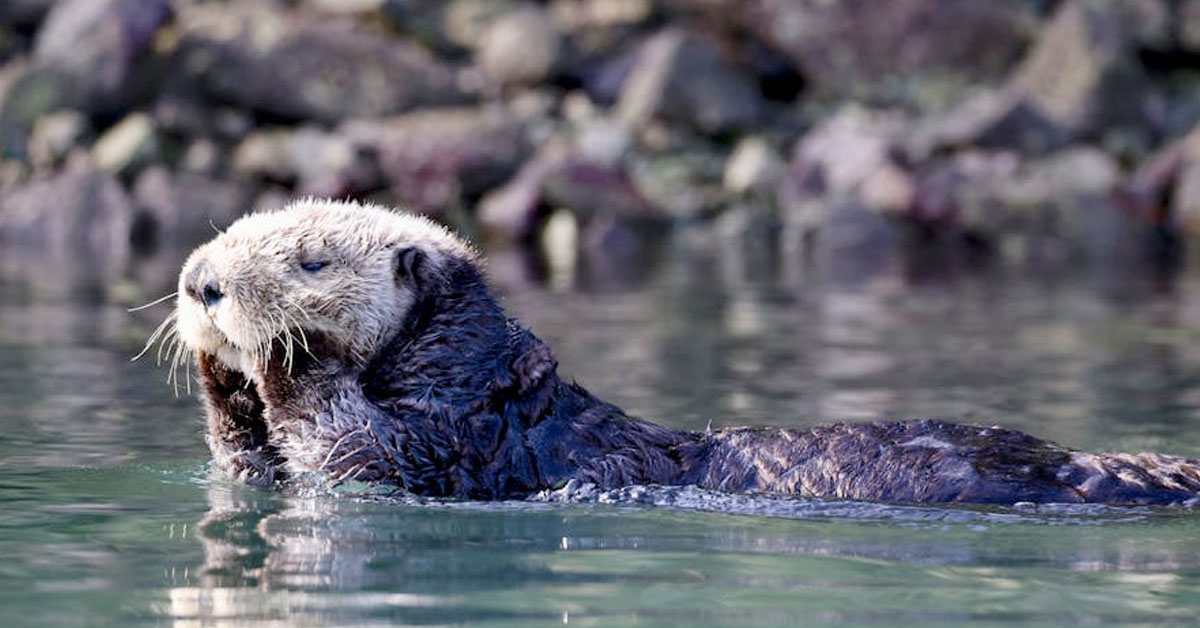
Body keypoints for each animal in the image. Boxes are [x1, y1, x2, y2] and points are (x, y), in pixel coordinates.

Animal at [164, 199, 1200, 506]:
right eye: (230, 231)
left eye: (311, 258)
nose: (201, 281)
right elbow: (254, 459)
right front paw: (221, 374)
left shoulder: (455, 442)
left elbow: (355, 448)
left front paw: (287, 356)